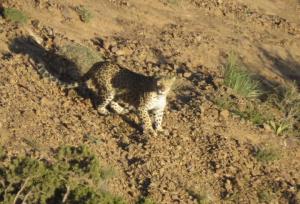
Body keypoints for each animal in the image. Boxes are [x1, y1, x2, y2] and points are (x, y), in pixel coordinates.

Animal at [28, 57, 176, 135]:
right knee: (101, 103)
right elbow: (146, 119)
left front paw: (160, 129)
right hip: (108, 90)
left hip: (116, 92)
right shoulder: (142, 107)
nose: (162, 89)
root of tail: (97, 64)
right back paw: (104, 111)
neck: (159, 96)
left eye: (167, 84)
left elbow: (158, 119)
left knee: (113, 102)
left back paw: (121, 110)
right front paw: (150, 130)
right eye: (158, 83)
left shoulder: (158, 109)